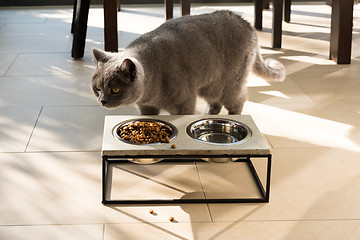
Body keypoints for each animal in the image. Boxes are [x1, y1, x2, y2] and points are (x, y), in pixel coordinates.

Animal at [91, 11, 286, 115]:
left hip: (228, 84)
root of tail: (247, 24)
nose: (103, 101)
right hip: (210, 86)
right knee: (216, 102)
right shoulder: (146, 107)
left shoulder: (184, 103)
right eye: (98, 88)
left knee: (239, 100)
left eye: (115, 90)